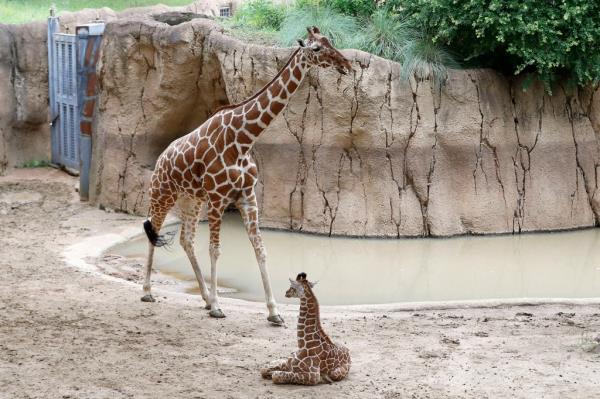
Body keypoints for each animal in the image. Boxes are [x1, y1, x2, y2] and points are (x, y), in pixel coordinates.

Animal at [140, 25, 352, 326]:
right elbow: (215, 249)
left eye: (330, 42)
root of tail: (160, 159)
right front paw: (219, 307)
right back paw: (148, 292)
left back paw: (204, 297)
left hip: (192, 199)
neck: (243, 139)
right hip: (163, 195)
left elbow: (260, 249)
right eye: (316, 49)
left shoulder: (246, 196)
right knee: (153, 231)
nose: (346, 65)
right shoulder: (218, 198)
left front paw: (274, 312)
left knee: (186, 239)